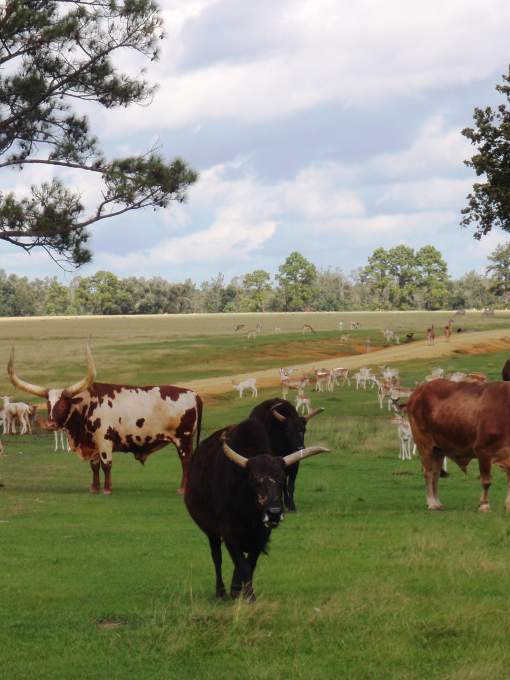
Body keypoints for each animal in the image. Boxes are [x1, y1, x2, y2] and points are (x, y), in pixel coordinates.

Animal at [7, 346, 203, 494]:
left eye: (63, 404)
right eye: (49, 404)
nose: (51, 424)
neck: (88, 406)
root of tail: (193, 394)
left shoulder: (104, 441)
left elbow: (106, 465)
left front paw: (107, 489)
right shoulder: (92, 443)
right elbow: (94, 466)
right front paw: (94, 488)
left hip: (183, 440)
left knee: (186, 462)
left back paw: (182, 489)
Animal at [185, 420, 328, 600]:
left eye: (282, 478)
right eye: (253, 480)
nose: (274, 513)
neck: (249, 511)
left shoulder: (262, 535)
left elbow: (249, 563)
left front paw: (239, 591)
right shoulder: (229, 532)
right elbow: (241, 564)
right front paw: (248, 596)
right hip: (211, 532)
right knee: (217, 557)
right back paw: (221, 591)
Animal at [404, 378, 510, 510]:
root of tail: (418, 392)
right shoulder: (483, 451)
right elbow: (486, 481)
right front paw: (484, 505)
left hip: (438, 449)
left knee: (435, 473)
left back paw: (437, 502)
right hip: (425, 445)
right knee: (428, 472)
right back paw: (432, 503)